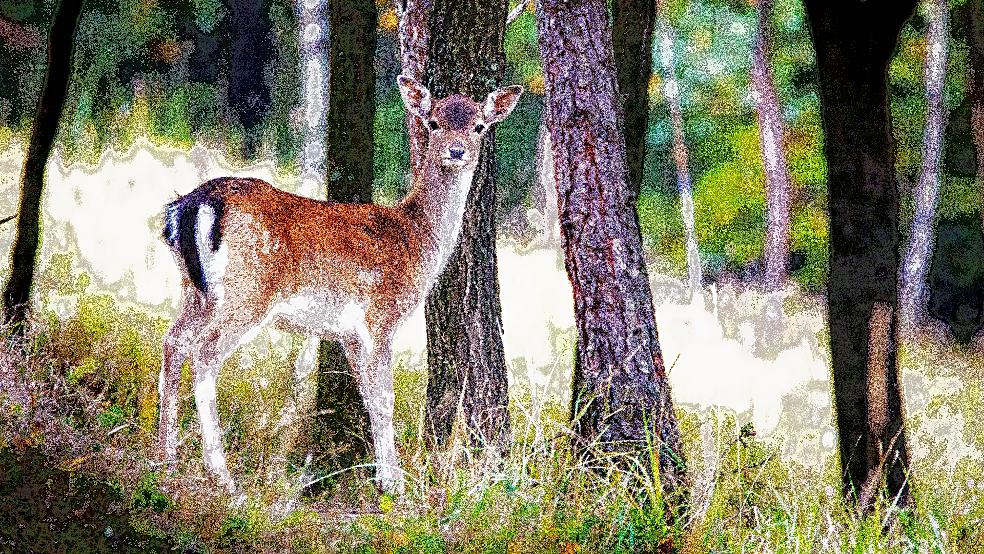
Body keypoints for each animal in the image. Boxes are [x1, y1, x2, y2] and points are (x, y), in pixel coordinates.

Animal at [157, 76, 523, 494]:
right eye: (432, 123)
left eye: (478, 126)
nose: (456, 150)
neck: (416, 240)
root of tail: (192, 204)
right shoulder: (381, 315)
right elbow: (384, 398)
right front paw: (393, 483)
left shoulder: (348, 333)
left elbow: (366, 395)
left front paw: (383, 474)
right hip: (248, 292)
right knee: (204, 352)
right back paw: (222, 476)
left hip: (195, 290)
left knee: (173, 342)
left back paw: (164, 462)